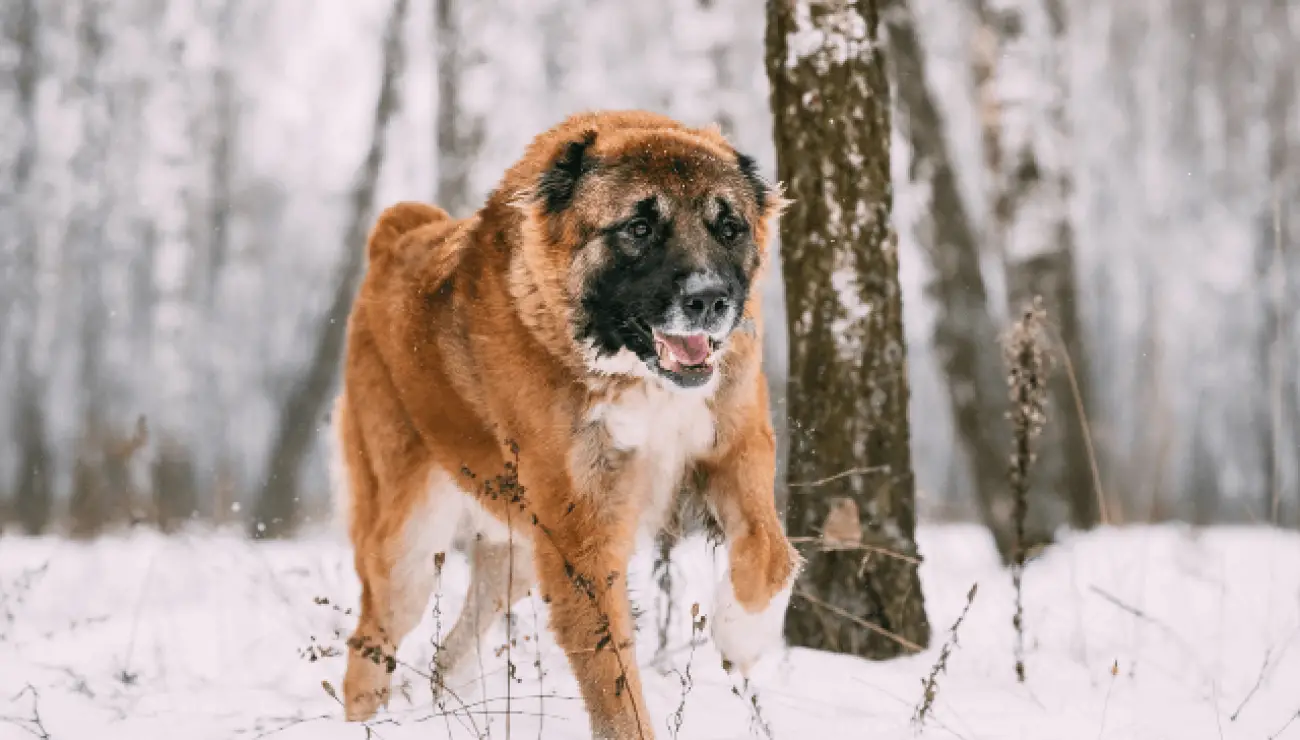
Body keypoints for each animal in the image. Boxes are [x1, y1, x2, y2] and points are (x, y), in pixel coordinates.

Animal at [335, 111, 795, 738]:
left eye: (729, 227)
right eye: (639, 228)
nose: (710, 299)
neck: (632, 372)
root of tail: (396, 235)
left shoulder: (738, 446)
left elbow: (772, 554)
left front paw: (744, 636)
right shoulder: (581, 534)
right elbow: (613, 680)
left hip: (517, 552)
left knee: (448, 655)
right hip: (409, 543)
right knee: (369, 647)